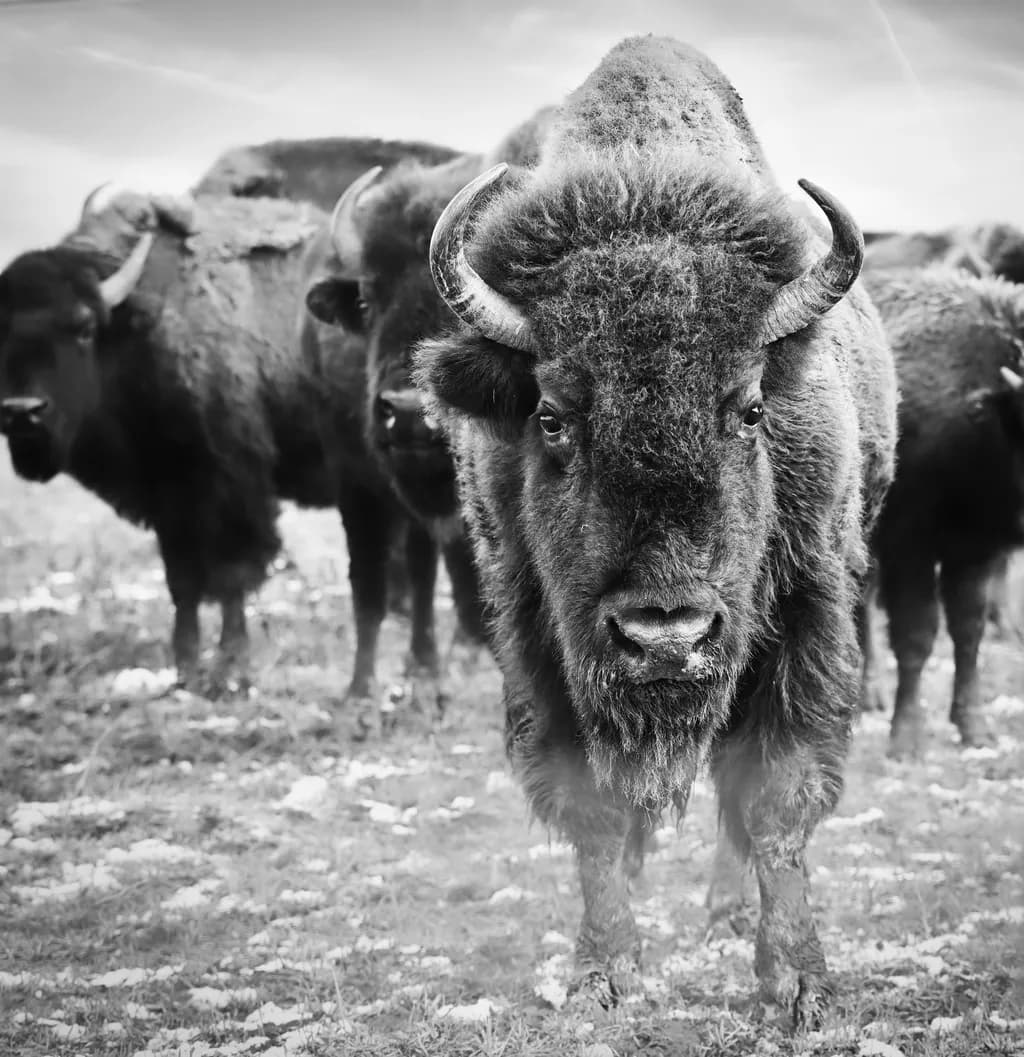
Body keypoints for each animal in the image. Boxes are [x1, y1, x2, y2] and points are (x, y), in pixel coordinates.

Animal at [414, 37, 897, 1023]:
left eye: (750, 407)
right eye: (552, 415)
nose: (665, 634)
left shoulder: (804, 621)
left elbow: (777, 800)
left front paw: (798, 983)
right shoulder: (538, 641)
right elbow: (593, 810)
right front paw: (603, 970)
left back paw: (725, 909)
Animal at [861, 267, 1024, 756]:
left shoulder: (973, 553)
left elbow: (968, 632)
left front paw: (975, 728)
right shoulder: (910, 549)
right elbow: (916, 634)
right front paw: (907, 738)